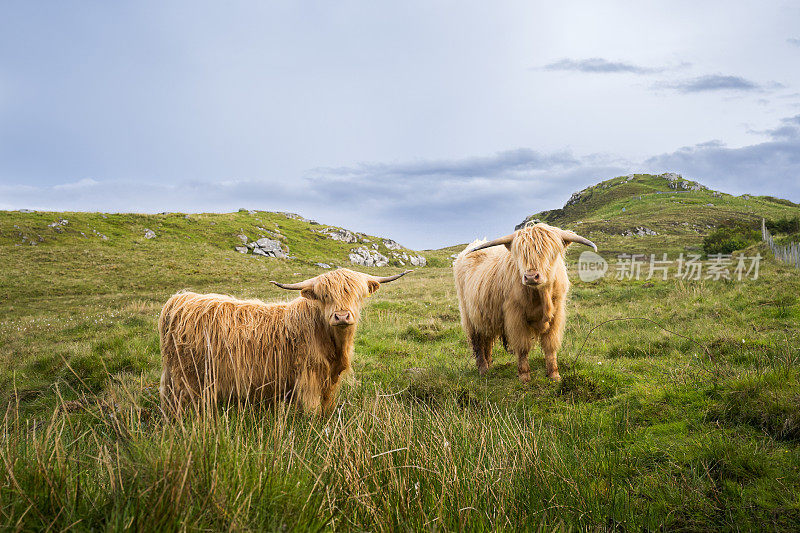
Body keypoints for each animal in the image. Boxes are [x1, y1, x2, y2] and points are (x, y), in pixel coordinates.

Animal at [161, 268, 412, 414]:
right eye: (325, 296)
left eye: (357, 294)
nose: (341, 316)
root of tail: (179, 300)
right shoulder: (309, 378)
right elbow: (312, 412)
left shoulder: (329, 383)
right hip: (188, 376)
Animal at [454, 222, 596, 380]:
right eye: (521, 254)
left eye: (549, 252)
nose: (531, 276)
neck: (542, 295)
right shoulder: (516, 316)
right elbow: (522, 347)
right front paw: (524, 377)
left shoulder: (556, 314)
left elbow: (550, 345)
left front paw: (554, 375)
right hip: (469, 315)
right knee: (478, 341)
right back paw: (483, 369)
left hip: (485, 315)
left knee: (487, 340)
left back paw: (489, 365)